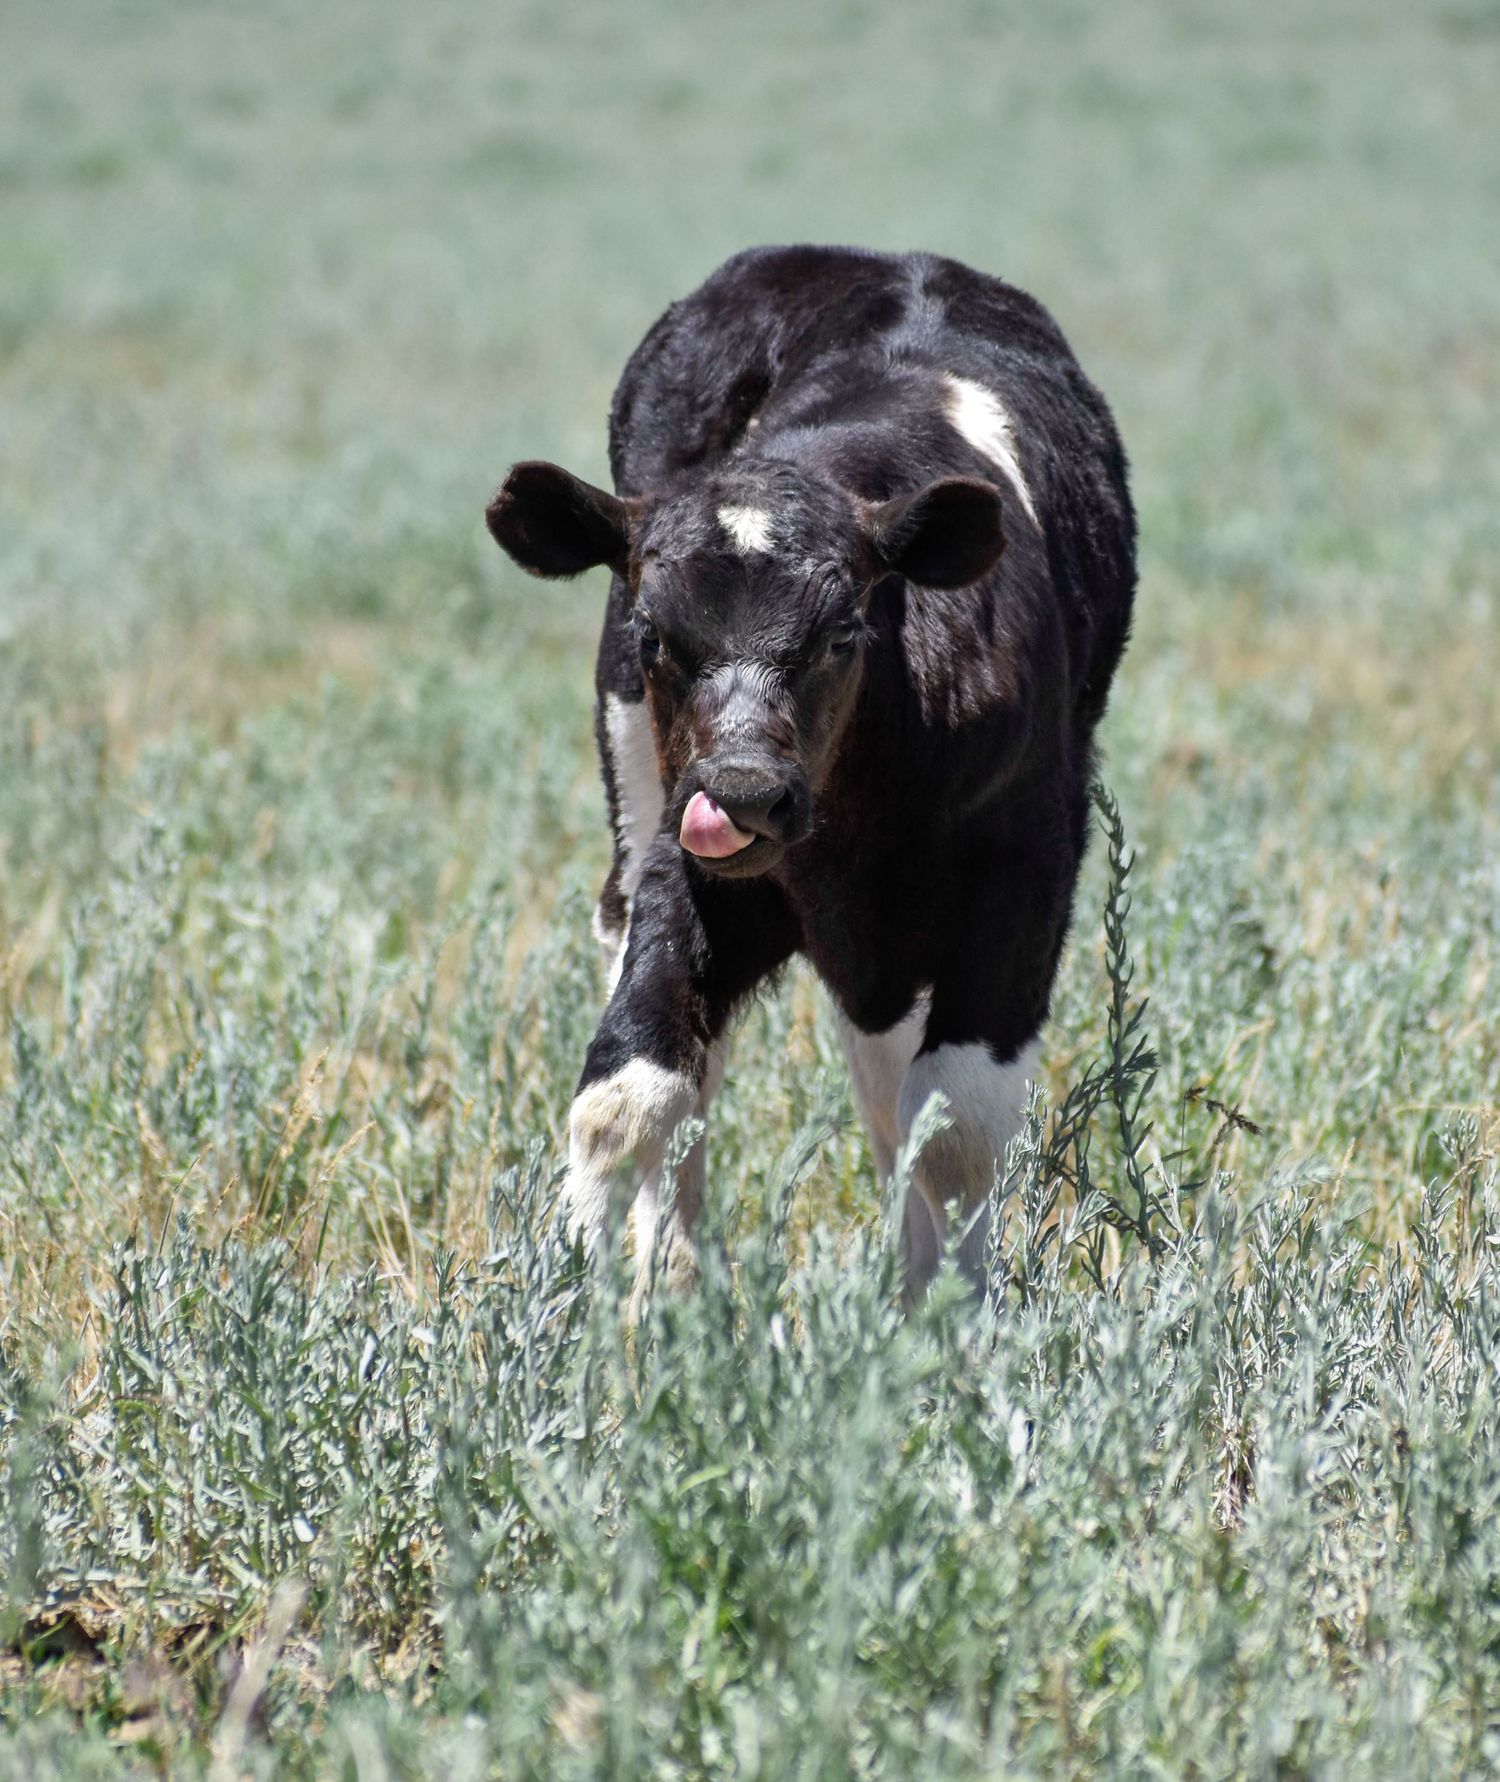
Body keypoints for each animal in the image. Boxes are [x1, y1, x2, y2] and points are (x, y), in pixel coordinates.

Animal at [486, 245, 1135, 1305]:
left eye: (843, 633)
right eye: (653, 633)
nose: (746, 791)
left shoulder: (1026, 874)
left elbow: (955, 1128)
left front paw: (950, 1322)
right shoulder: (684, 856)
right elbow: (627, 1094)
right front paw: (585, 1305)